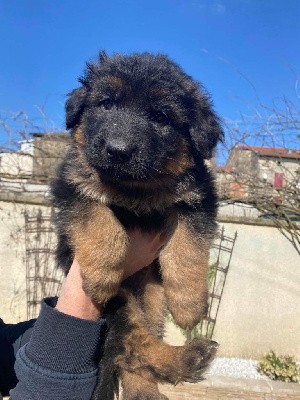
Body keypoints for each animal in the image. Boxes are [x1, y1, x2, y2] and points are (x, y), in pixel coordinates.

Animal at [51, 53, 224, 400]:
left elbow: (188, 247)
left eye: (160, 117)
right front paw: (102, 275)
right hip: (122, 304)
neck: (135, 191)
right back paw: (185, 360)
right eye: (106, 104)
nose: (118, 150)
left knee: (136, 348)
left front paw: (188, 305)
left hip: (151, 299)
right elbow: (99, 219)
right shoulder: (72, 187)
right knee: (131, 343)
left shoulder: (197, 199)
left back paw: (158, 381)